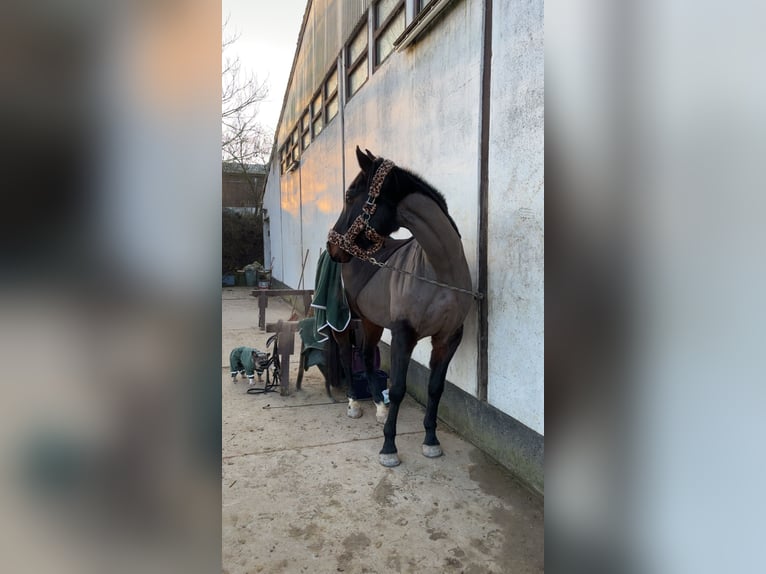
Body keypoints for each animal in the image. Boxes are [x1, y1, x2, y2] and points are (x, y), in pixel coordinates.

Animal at [326, 147, 475, 467]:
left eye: (349, 196)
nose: (332, 246)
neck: (438, 270)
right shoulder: (403, 335)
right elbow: (397, 389)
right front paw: (389, 448)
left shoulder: (448, 338)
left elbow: (435, 388)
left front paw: (431, 440)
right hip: (347, 320)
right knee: (346, 354)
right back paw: (354, 403)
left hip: (371, 321)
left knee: (366, 356)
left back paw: (379, 409)